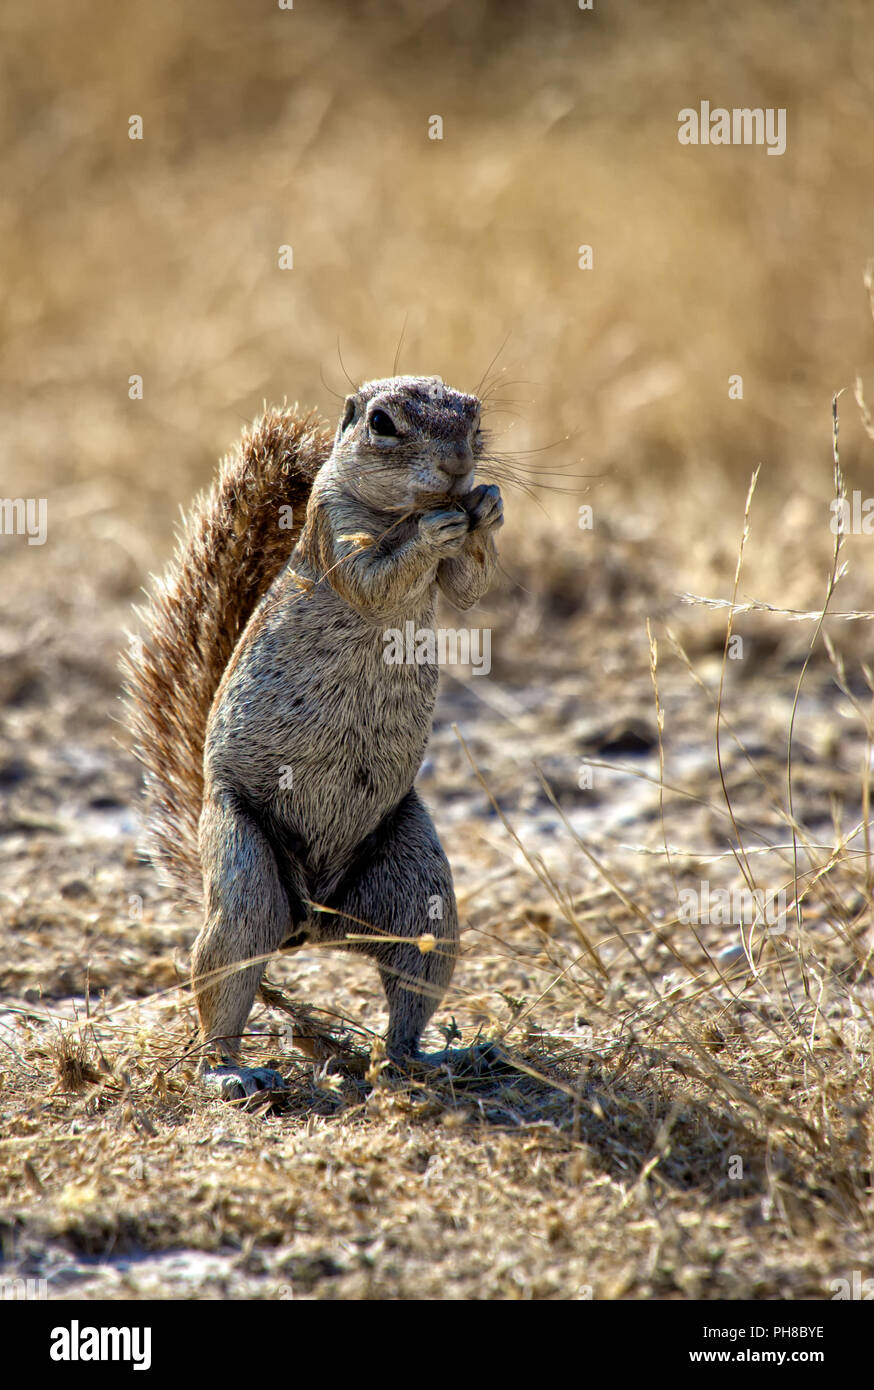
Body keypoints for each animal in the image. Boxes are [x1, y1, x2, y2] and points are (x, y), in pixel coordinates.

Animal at [125, 378, 500, 1095]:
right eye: (382, 423)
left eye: (476, 416)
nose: (459, 468)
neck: (398, 511)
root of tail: (316, 925)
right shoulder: (332, 529)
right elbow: (374, 578)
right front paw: (436, 528)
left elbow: (471, 587)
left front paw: (489, 508)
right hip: (244, 870)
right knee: (226, 974)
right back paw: (231, 1074)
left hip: (421, 893)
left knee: (408, 997)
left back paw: (435, 1058)